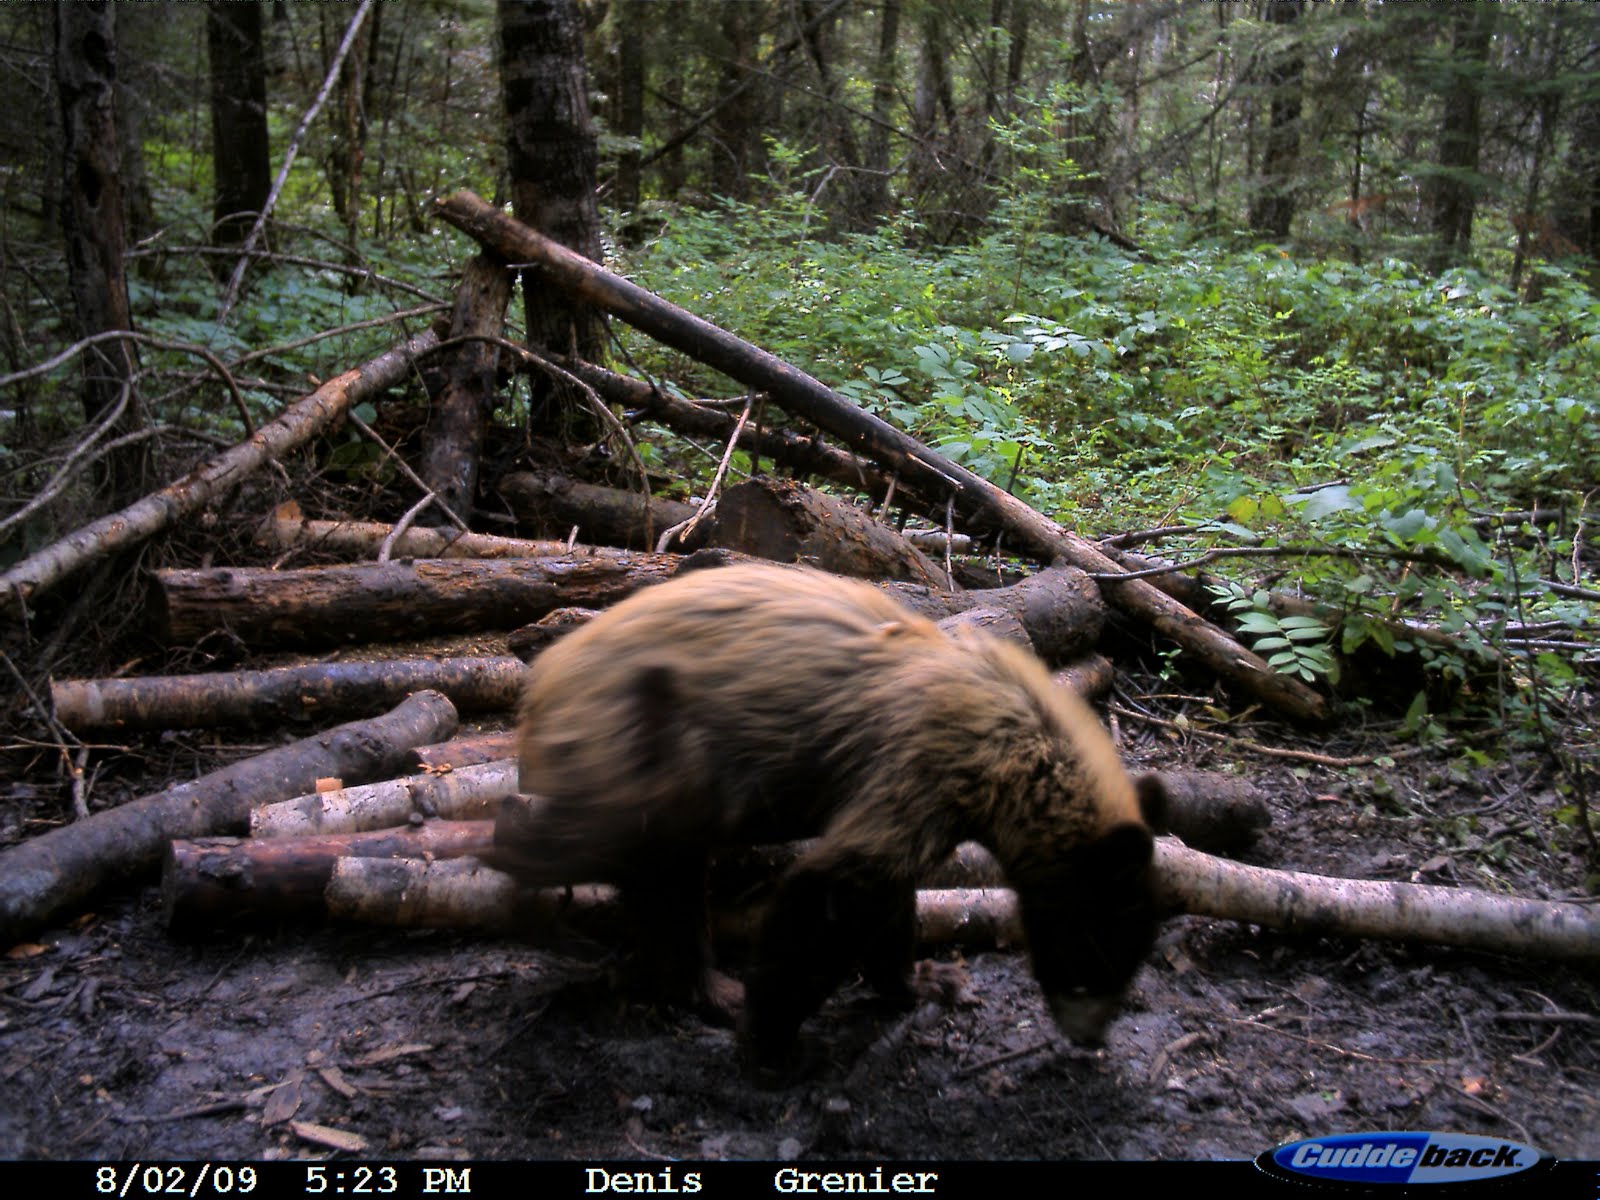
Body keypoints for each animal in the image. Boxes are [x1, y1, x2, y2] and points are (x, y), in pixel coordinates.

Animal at [489, 561, 1166, 1073]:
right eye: (1100, 952)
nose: (1091, 1040)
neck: (1018, 748)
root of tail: (541, 676)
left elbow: (887, 897)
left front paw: (923, 980)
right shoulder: (930, 762)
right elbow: (832, 888)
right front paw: (772, 1044)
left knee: (665, 873)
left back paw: (699, 983)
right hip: (635, 740)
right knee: (609, 841)